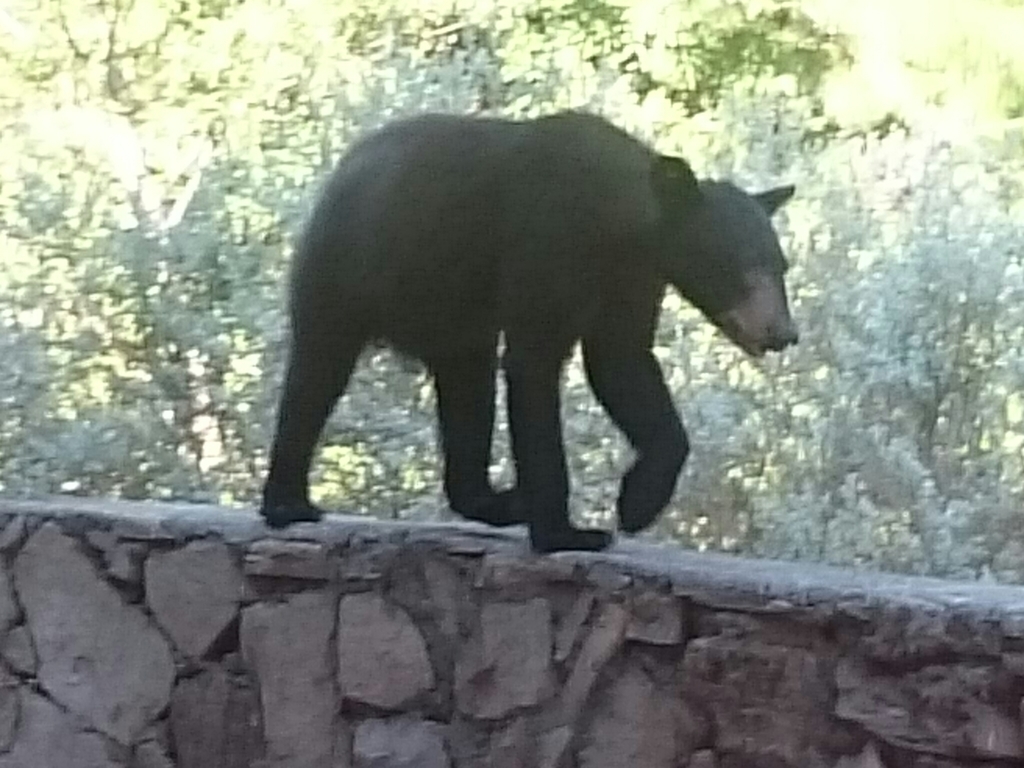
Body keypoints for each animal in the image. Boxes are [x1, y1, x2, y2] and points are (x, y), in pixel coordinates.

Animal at [260, 110, 798, 553]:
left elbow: (622, 363)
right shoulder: (548, 243)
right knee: (317, 372)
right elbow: (535, 365)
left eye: (781, 266)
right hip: (349, 269)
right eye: (745, 269)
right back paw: (289, 503)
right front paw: (569, 533)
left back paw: (500, 500)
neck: (620, 223)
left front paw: (637, 504)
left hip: (456, 318)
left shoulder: (633, 280)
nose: (784, 332)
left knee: (468, 390)